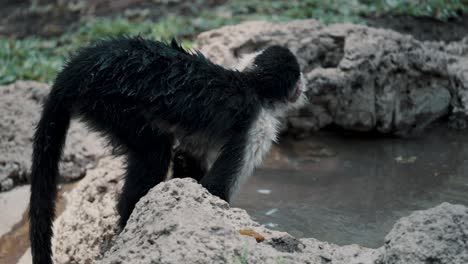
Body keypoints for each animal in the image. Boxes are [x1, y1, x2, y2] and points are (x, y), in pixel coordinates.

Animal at [30, 35, 308, 264]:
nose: (303, 87)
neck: (249, 83)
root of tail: (81, 64)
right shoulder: (259, 124)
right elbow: (215, 187)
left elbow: (189, 158)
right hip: (107, 101)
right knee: (154, 151)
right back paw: (131, 219)